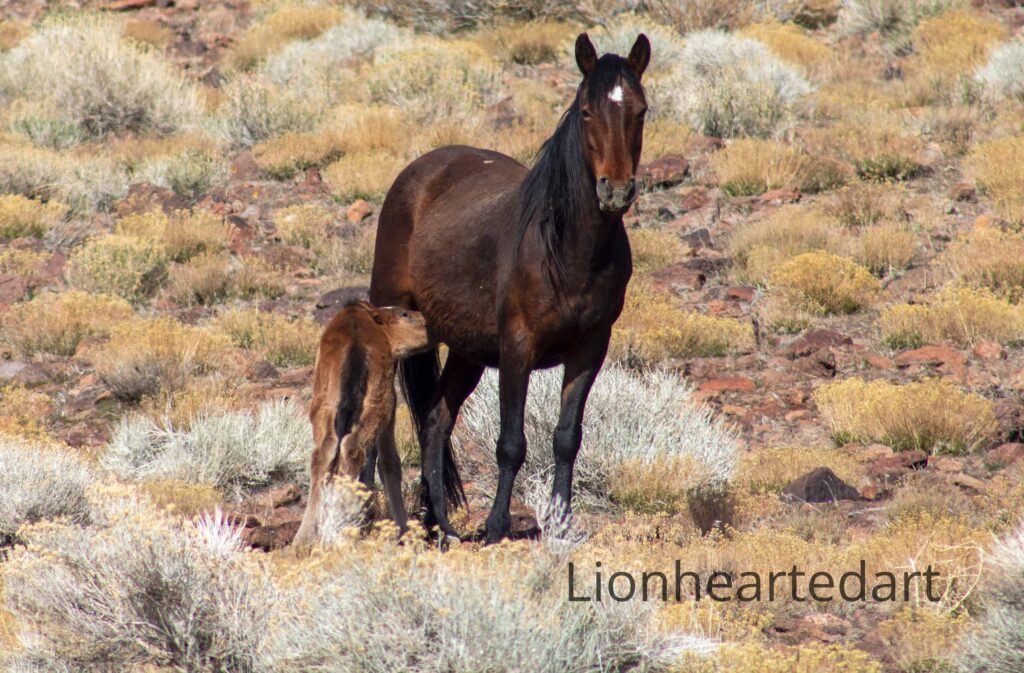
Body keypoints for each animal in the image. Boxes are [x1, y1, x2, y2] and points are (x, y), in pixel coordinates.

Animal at [293, 300, 431, 548]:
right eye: (405, 314)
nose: (428, 322)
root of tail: (355, 346)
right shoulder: (391, 406)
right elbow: (389, 464)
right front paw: (404, 532)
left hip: (324, 405)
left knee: (324, 454)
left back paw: (305, 539)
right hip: (377, 405)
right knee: (352, 451)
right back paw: (339, 535)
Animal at [367, 33, 650, 544]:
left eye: (640, 110)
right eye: (586, 112)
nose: (615, 191)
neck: (567, 248)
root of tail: (418, 170)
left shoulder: (590, 349)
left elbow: (566, 438)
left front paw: (560, 523)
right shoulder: (518, 346)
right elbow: (512, 443)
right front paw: (497, 526)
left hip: (467, 350)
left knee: (436, 421)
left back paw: (439, 524)